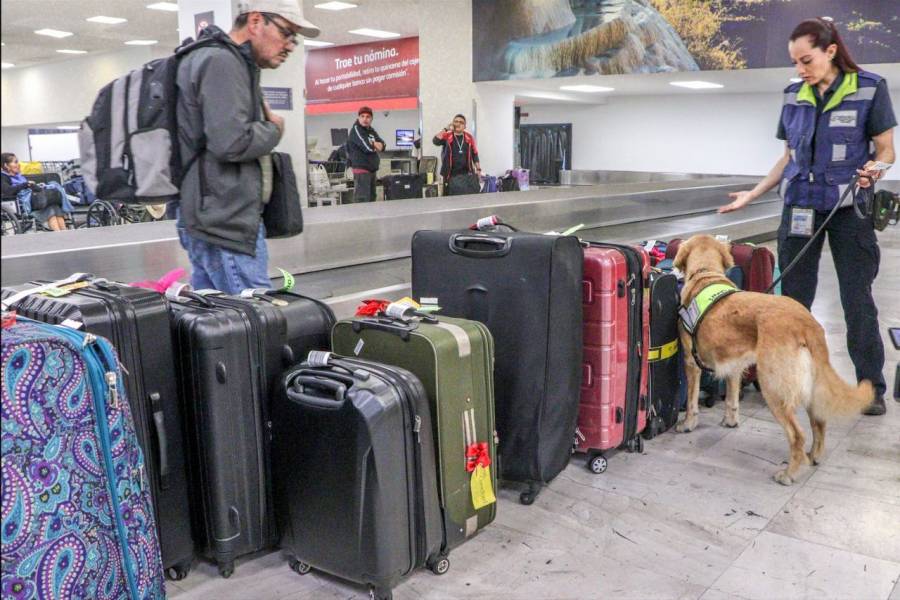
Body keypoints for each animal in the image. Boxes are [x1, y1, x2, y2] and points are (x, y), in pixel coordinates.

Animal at [676, 237, 872, 486]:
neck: (706, 273)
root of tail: (807, 322)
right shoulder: (734, 365)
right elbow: (732, 398)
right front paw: (730, 420)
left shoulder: (691, 362)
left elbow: (692, 401)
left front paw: (687, 424)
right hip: (810, 386)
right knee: (819, 423)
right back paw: (813, 456)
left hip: (773, 387)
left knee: (797, 435)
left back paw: (789, 473)